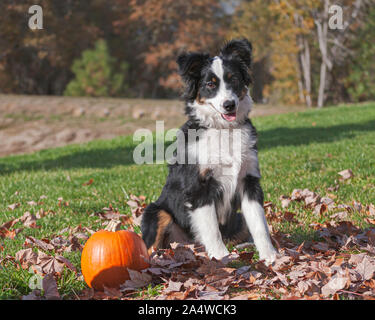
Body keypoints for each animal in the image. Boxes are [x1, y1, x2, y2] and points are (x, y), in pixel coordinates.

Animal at [142, 38, 278, 264]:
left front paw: (270, 256)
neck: (224, 130)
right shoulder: (199, 187)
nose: (229, 104)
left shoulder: (249, 181)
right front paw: (222, 257)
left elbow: (260, 224)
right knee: (149, 247)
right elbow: (212, 229)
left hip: (237, 219)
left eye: (234, 80)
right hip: (156, 212)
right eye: (210, 84)